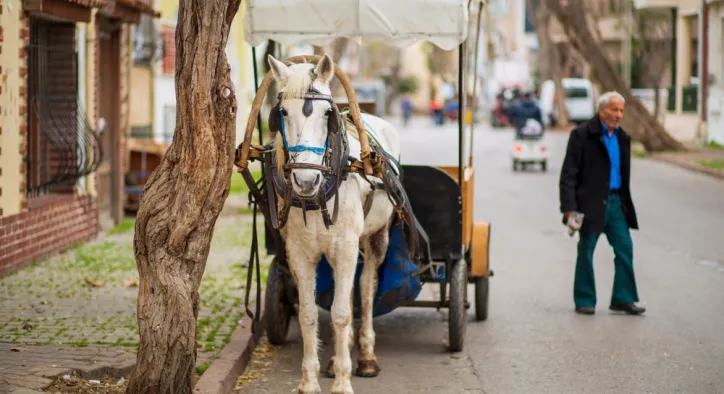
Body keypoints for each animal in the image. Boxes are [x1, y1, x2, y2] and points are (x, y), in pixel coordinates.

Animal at [268, 54, 398, 394]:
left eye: (327, 114)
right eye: (282, 112)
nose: (306, 180)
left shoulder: (347, 246)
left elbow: (341, 313)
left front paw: (342, 382)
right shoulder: (299, 252)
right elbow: (308, 314)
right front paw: (310, 381)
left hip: (376, 237)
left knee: (365, 289)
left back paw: (365, 356)